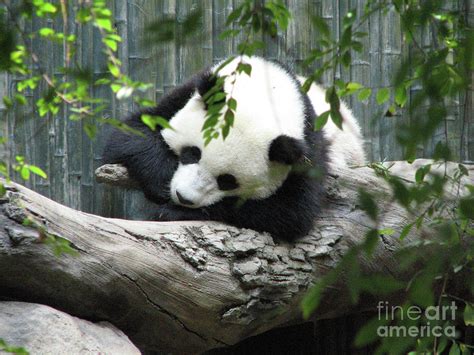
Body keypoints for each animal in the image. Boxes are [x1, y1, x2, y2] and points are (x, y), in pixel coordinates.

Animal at [102, 57, 364, 241]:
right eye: (191, 153)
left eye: (227, 181)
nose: (184, 197)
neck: (266, 91)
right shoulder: (181, 97)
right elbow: (130, 134)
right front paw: (162, 185)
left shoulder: (307, 148)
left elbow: (289, 213)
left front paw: (173, 212)